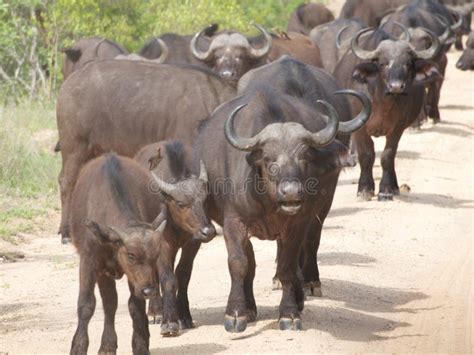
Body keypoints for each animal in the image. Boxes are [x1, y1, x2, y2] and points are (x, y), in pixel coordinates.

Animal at [69, 155, 167, 355]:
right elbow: (87, 304)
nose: (148, 291)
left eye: (155, 256)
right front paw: (79, 346)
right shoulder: (90, 262)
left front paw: (140, 344)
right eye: (130, 256)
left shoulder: (135, 278)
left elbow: (135, 307)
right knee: (110, 303)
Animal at [334, 27, 440, 200]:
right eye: (383, 63)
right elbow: (367, 154)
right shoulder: (360, 128)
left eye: (407, 64)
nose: (396, 86)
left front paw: (386, 189)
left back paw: (395, 187)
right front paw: (365, 189)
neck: (382, 103)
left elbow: (388, 155)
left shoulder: (398, 128)